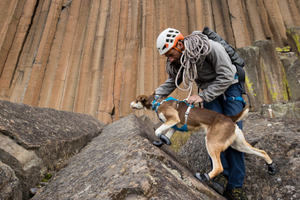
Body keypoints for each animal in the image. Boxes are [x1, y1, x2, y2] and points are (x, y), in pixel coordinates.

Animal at [131, 93, 276, 182]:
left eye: (137, 99)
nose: (130, 104)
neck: (157, 102)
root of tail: (230, 118)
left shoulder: (173, 119)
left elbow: (158, 130)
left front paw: (160, 137)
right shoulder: (174, 126)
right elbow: (166, 136)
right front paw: (162, 141)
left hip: (212, 143)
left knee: (219, 167)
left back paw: (203, 176)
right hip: (239, 145)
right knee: (262, 151)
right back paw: (271, 167)